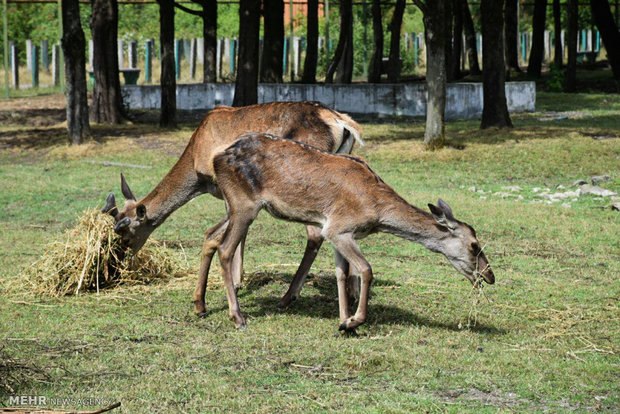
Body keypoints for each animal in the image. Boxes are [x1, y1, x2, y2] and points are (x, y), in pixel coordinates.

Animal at [101, 102, 364, 316]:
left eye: (125, 235)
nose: (118, 267)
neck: (195, 165)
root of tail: (342, 122)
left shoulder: (227, 188)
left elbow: (223, 235)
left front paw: (226, 289)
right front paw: (237, 281)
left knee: (315, 233)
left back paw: (288, 297)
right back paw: (352, 292)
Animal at [208, 134, 494, 332]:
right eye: (474, 245)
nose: (489, 276)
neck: (377, 211)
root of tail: (216, 158)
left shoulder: (337, 232)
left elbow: (341, 274)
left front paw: (343, 321)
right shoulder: (340, 228)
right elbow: (366, 269)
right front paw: (354, 321)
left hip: (232, 205)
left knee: (213, 237)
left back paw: (202, 307)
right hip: (244, 205)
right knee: (225, 248)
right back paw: (238, 318)